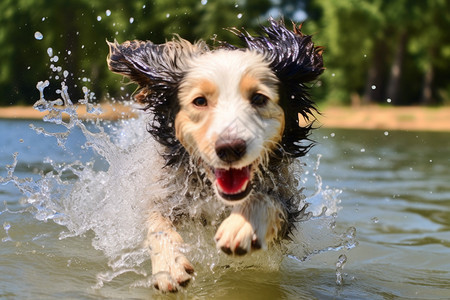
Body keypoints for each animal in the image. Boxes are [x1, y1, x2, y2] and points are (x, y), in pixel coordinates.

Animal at [106, 18, 324, 290]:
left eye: (259, 98)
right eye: (200, 101)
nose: (230, 148)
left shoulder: (284, 199)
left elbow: (265, 201)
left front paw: (241, 227)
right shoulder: (169, 194)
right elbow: (158, 224)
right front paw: (169, 266)